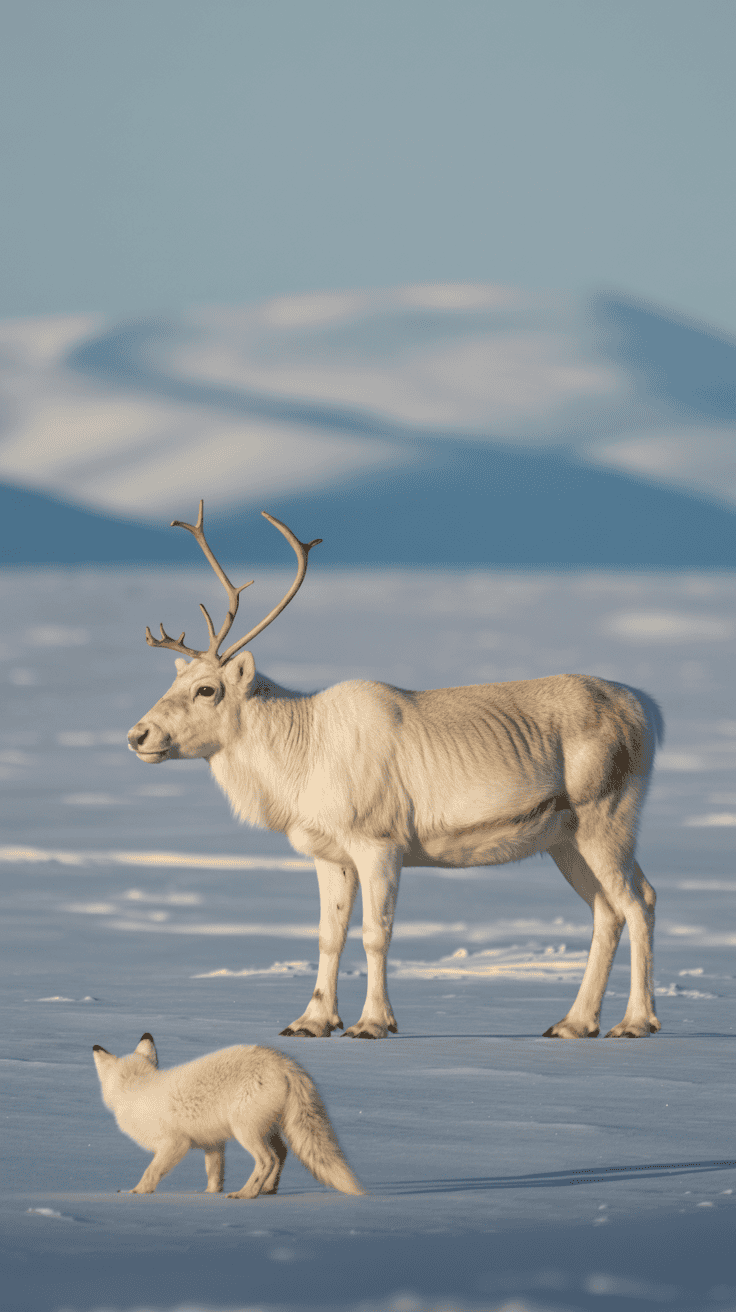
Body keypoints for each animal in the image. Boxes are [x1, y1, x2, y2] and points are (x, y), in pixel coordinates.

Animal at [128, 503, 663, 1041]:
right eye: (175, 681)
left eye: (208, 689)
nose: (139, 735)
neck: (298, 755)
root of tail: (649, 711)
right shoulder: (330, 853)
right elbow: (329, 936)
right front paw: (311, 1021)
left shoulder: (379, 843)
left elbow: (375, 934)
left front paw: (372, 1022)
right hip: (564, 837)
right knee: (608, 911)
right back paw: (575, 1023)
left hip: (605, 818)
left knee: (638, 902)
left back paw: (636, 1022)